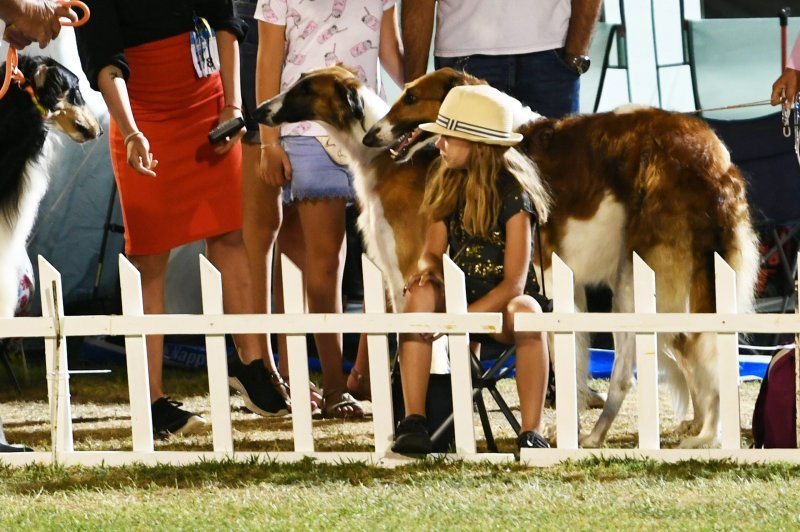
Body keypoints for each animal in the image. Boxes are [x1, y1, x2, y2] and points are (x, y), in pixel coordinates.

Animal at [366, 67, 760, 448]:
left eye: (411, 97)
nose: (370, 136)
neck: (502, 139)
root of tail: (712, 159)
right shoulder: (574, 286)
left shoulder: (552, 280)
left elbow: (568, 363)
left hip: (639, 283)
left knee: (645, 365)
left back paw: (635, 435)